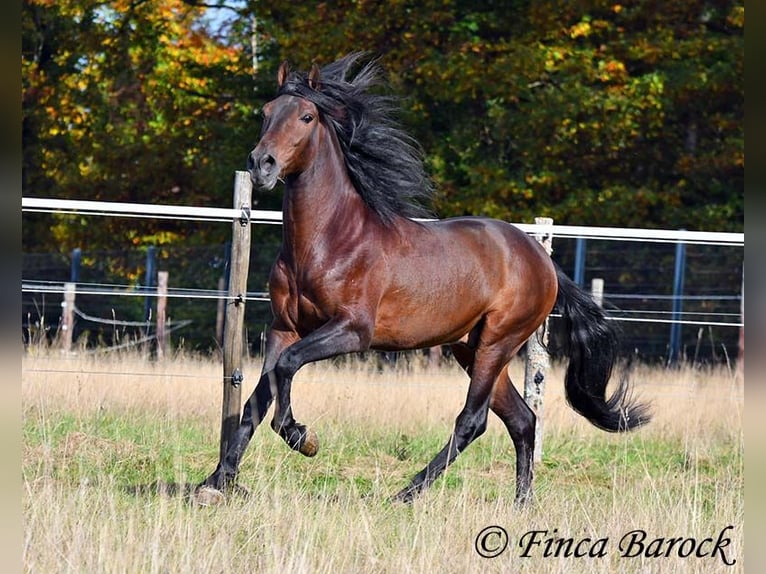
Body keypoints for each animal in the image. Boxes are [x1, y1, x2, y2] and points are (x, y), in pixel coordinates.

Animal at [198, 53, 650, 505]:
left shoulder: (352, 330)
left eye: (307, 116)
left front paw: (302, 437)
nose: (262, 165)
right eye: (266, 113)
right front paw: (215, 483)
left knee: (473, 421)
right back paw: (521, 503)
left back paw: (406, 494)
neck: (329, 241)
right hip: (472, 348)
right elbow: (258, 398)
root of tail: (540, 257)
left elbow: (288, 368)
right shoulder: (285, 328)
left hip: (498, 341)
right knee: (522, 420)